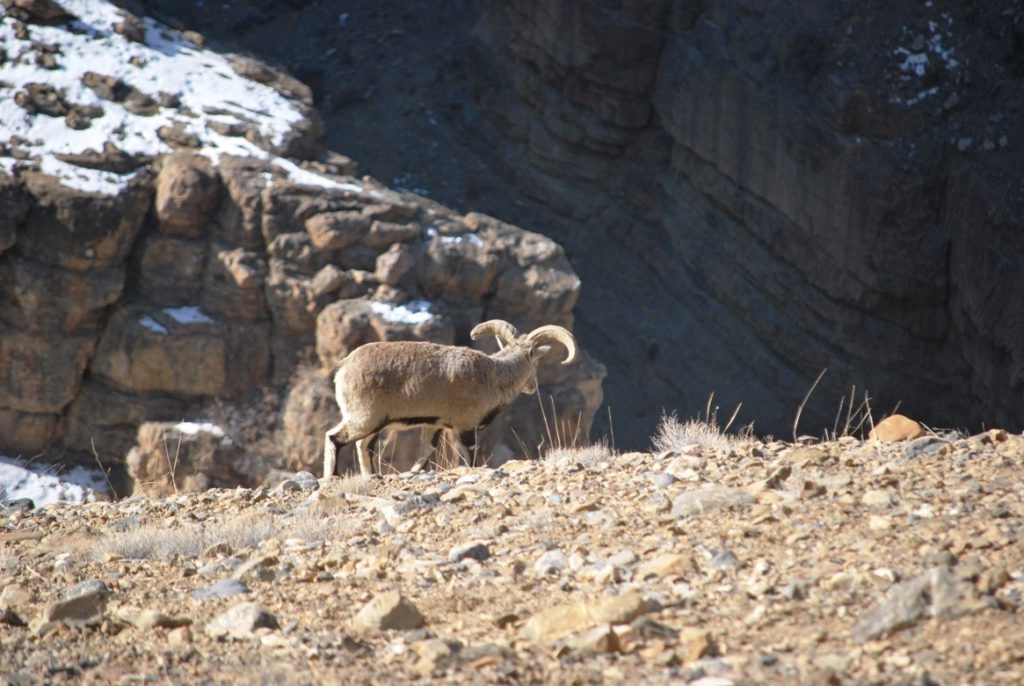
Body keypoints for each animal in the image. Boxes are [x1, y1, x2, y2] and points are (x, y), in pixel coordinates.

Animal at [322, 319, 578, 477]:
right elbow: (468, 457)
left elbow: (424, 453)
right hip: (364, 418)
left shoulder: (434, 425)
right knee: (334, 438)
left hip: (374, 424)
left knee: (364, 447)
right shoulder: (465, 426)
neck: (492, 375)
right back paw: (333, 476)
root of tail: (344, 367)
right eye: (536, 361)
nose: (532, 387)